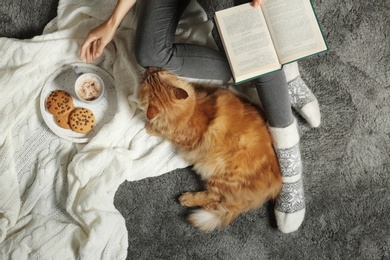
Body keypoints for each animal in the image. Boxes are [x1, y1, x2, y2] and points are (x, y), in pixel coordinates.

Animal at [139, 67, 282, 232]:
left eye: (154, 74)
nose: (148, 68)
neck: (190, 110)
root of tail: (276, 183)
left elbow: (161, 130)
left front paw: (150, 127)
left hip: (220, 176)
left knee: (214, 197)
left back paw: (186, 198)